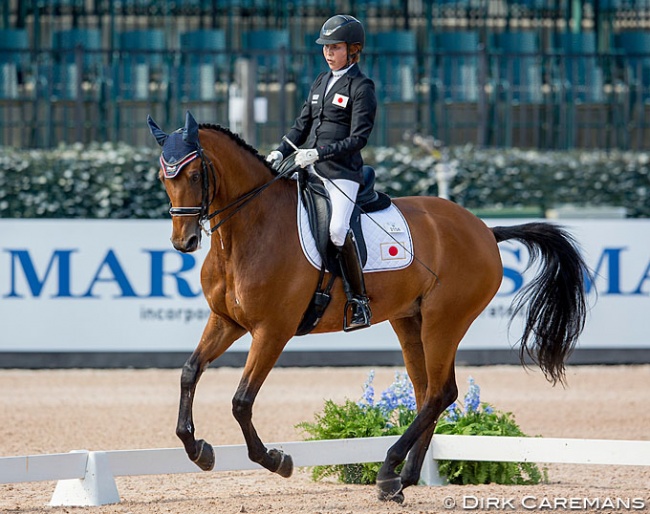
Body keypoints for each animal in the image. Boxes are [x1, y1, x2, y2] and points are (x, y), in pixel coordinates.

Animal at [147, 112, 588, 500]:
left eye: (194, 175)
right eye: (163, 177)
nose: (184, 242)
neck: (249, 230)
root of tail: (484, 229)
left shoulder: (273, 330)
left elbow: (241, 402)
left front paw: (276, 460)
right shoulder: (226, 320)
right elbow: (189, 373)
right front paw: (198, 450)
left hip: (445, 321)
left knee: (440, 392)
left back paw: (389, 470)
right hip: (410, 321)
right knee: (427, 391)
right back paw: (402, 479)